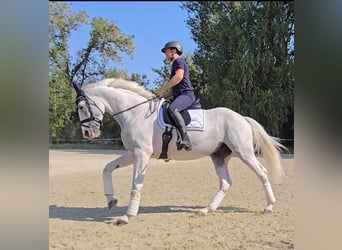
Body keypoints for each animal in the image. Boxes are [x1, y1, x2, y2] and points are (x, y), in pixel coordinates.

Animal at [71, 77, 286, 226]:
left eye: (81, 106)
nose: (88, 133)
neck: (134, 113)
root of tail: (242, 118)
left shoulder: (141, 154)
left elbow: (136, 186)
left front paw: (126, 217)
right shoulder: (132, 153)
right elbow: (107, 168)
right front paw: (111, 200)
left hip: (244, 153)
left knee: (262, 173)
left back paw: (269, 206)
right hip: (218, 156)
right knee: (226, 183)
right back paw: (205, 210)